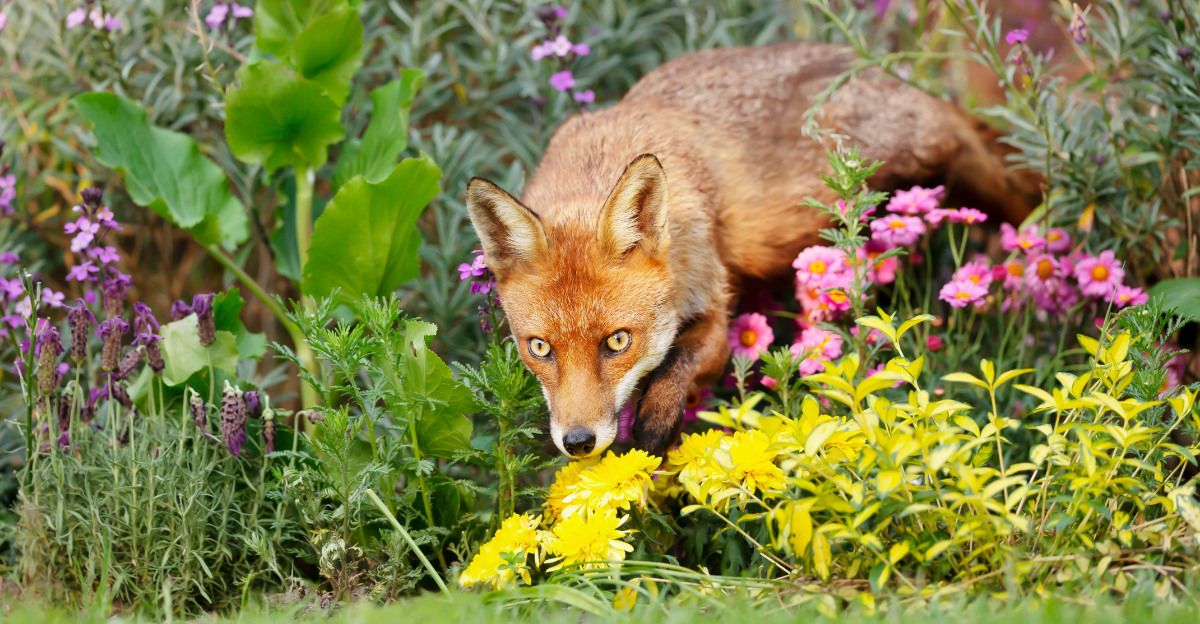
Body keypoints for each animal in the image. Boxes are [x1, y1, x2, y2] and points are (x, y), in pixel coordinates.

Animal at [465, 42, 1039, 459]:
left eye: (617, 342)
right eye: (540, 348)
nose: (579, 443)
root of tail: (876, 64)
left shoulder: (715, 308)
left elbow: (679, 365)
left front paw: (653, 429)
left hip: (935, 156)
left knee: (1010, 184)